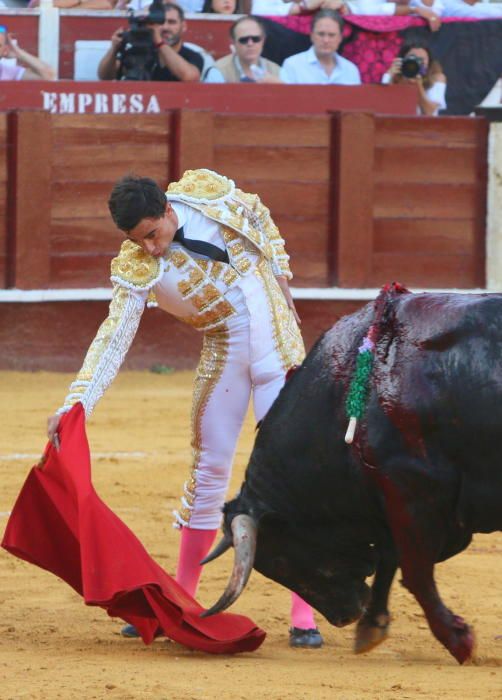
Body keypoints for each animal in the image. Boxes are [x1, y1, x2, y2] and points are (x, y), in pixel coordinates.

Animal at [202, 288, 502, 660]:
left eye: (280, 560)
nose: (344, 616)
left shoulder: (412, 489)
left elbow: (415, 570)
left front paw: (458, 640)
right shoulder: (391, 500)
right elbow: (392, 558)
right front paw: (372, 626)